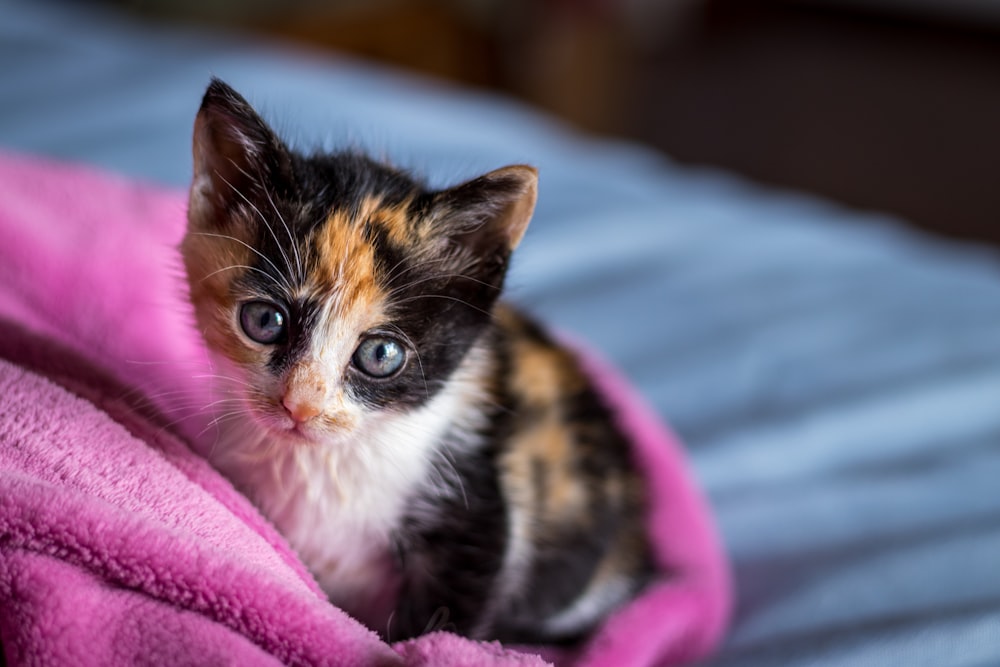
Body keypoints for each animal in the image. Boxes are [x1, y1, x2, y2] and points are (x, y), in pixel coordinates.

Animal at [182, 79, 648, 648]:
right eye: (265, 320)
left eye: (381, 355)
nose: (301, 406)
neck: (325, 464)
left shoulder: (477, 516)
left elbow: (443, 623)